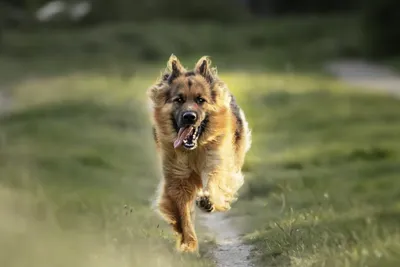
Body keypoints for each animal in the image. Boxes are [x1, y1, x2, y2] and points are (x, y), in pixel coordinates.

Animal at [147, 54, 252, 253]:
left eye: (200, 100)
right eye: (179, 100)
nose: (189, 117)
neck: (193, 150)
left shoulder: (216, 162)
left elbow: (215, 181)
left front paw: (208, 200)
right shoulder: (178, 179)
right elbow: (183, 213)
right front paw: (189, 244)